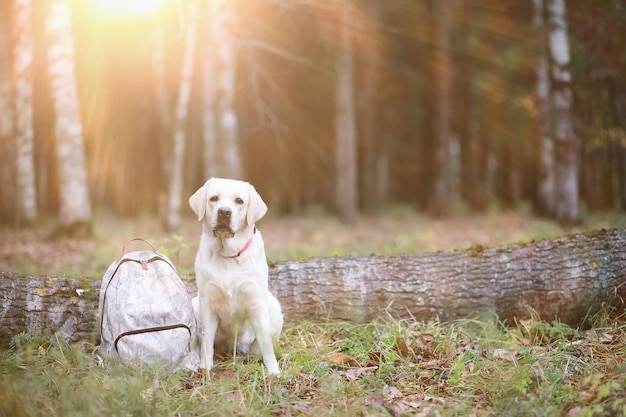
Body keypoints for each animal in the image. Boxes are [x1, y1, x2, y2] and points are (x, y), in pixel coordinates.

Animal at [188, 176, 280, 374]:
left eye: (239, 201)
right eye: (214, 198)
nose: (224, 212)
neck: (228, 255)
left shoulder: (256, 302)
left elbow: (266, 344)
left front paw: (273, 372)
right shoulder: (208, 302)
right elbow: (207, 342)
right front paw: (206, 368)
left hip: (274, 306)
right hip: (195, 304)